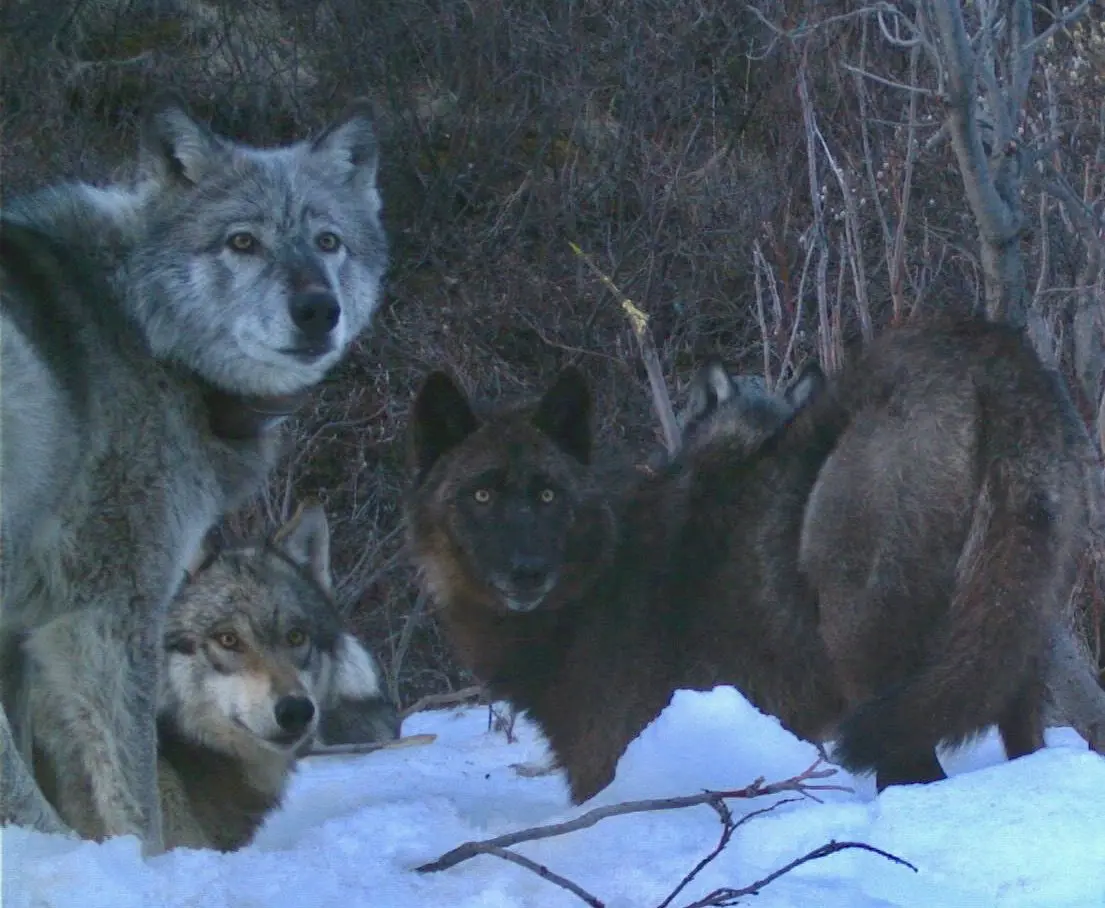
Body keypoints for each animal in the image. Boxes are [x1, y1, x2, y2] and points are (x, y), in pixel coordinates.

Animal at [0, 94, 388, 852]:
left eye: (328, 241)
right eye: (242, 242)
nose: (317, 309)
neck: (140, 328)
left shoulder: (23, 631)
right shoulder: (103, 613)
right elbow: (134, 793)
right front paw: (139, 867)